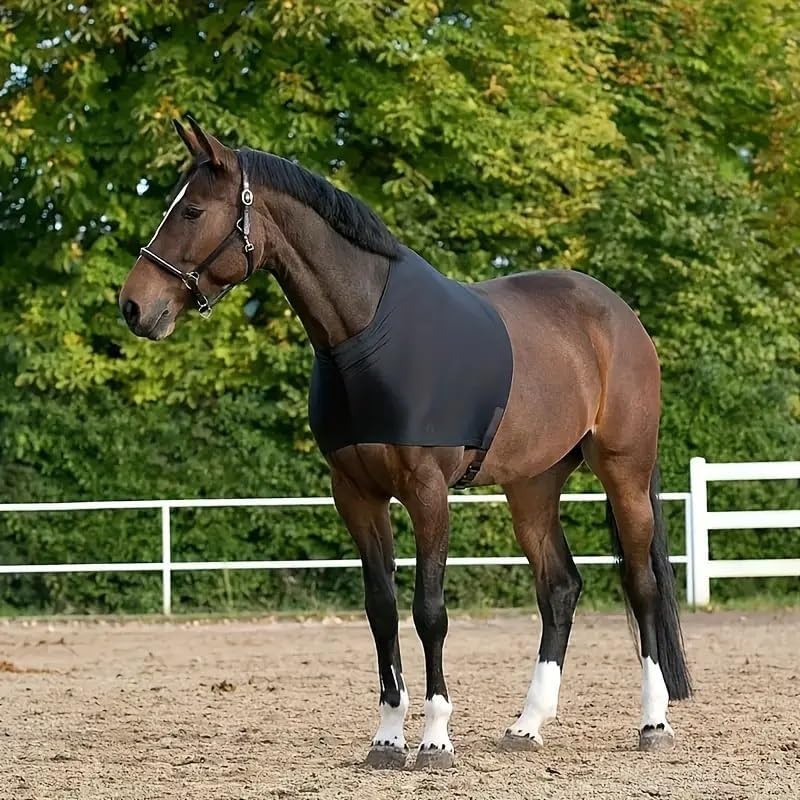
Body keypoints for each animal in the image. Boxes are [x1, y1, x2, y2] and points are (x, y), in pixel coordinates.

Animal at [119, 116, 691, 770]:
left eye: (191, 211)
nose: (134, 306)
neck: (367, 333)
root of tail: (619, 315)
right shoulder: (356, 495)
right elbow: (382, 609)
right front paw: (388, 735)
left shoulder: (427, 493)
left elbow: (429, 611)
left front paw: (435, 737)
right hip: (533, 486)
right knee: (560, 589)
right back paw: (527, 724)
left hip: (624, 471)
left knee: (643, 586)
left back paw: (653, 722)